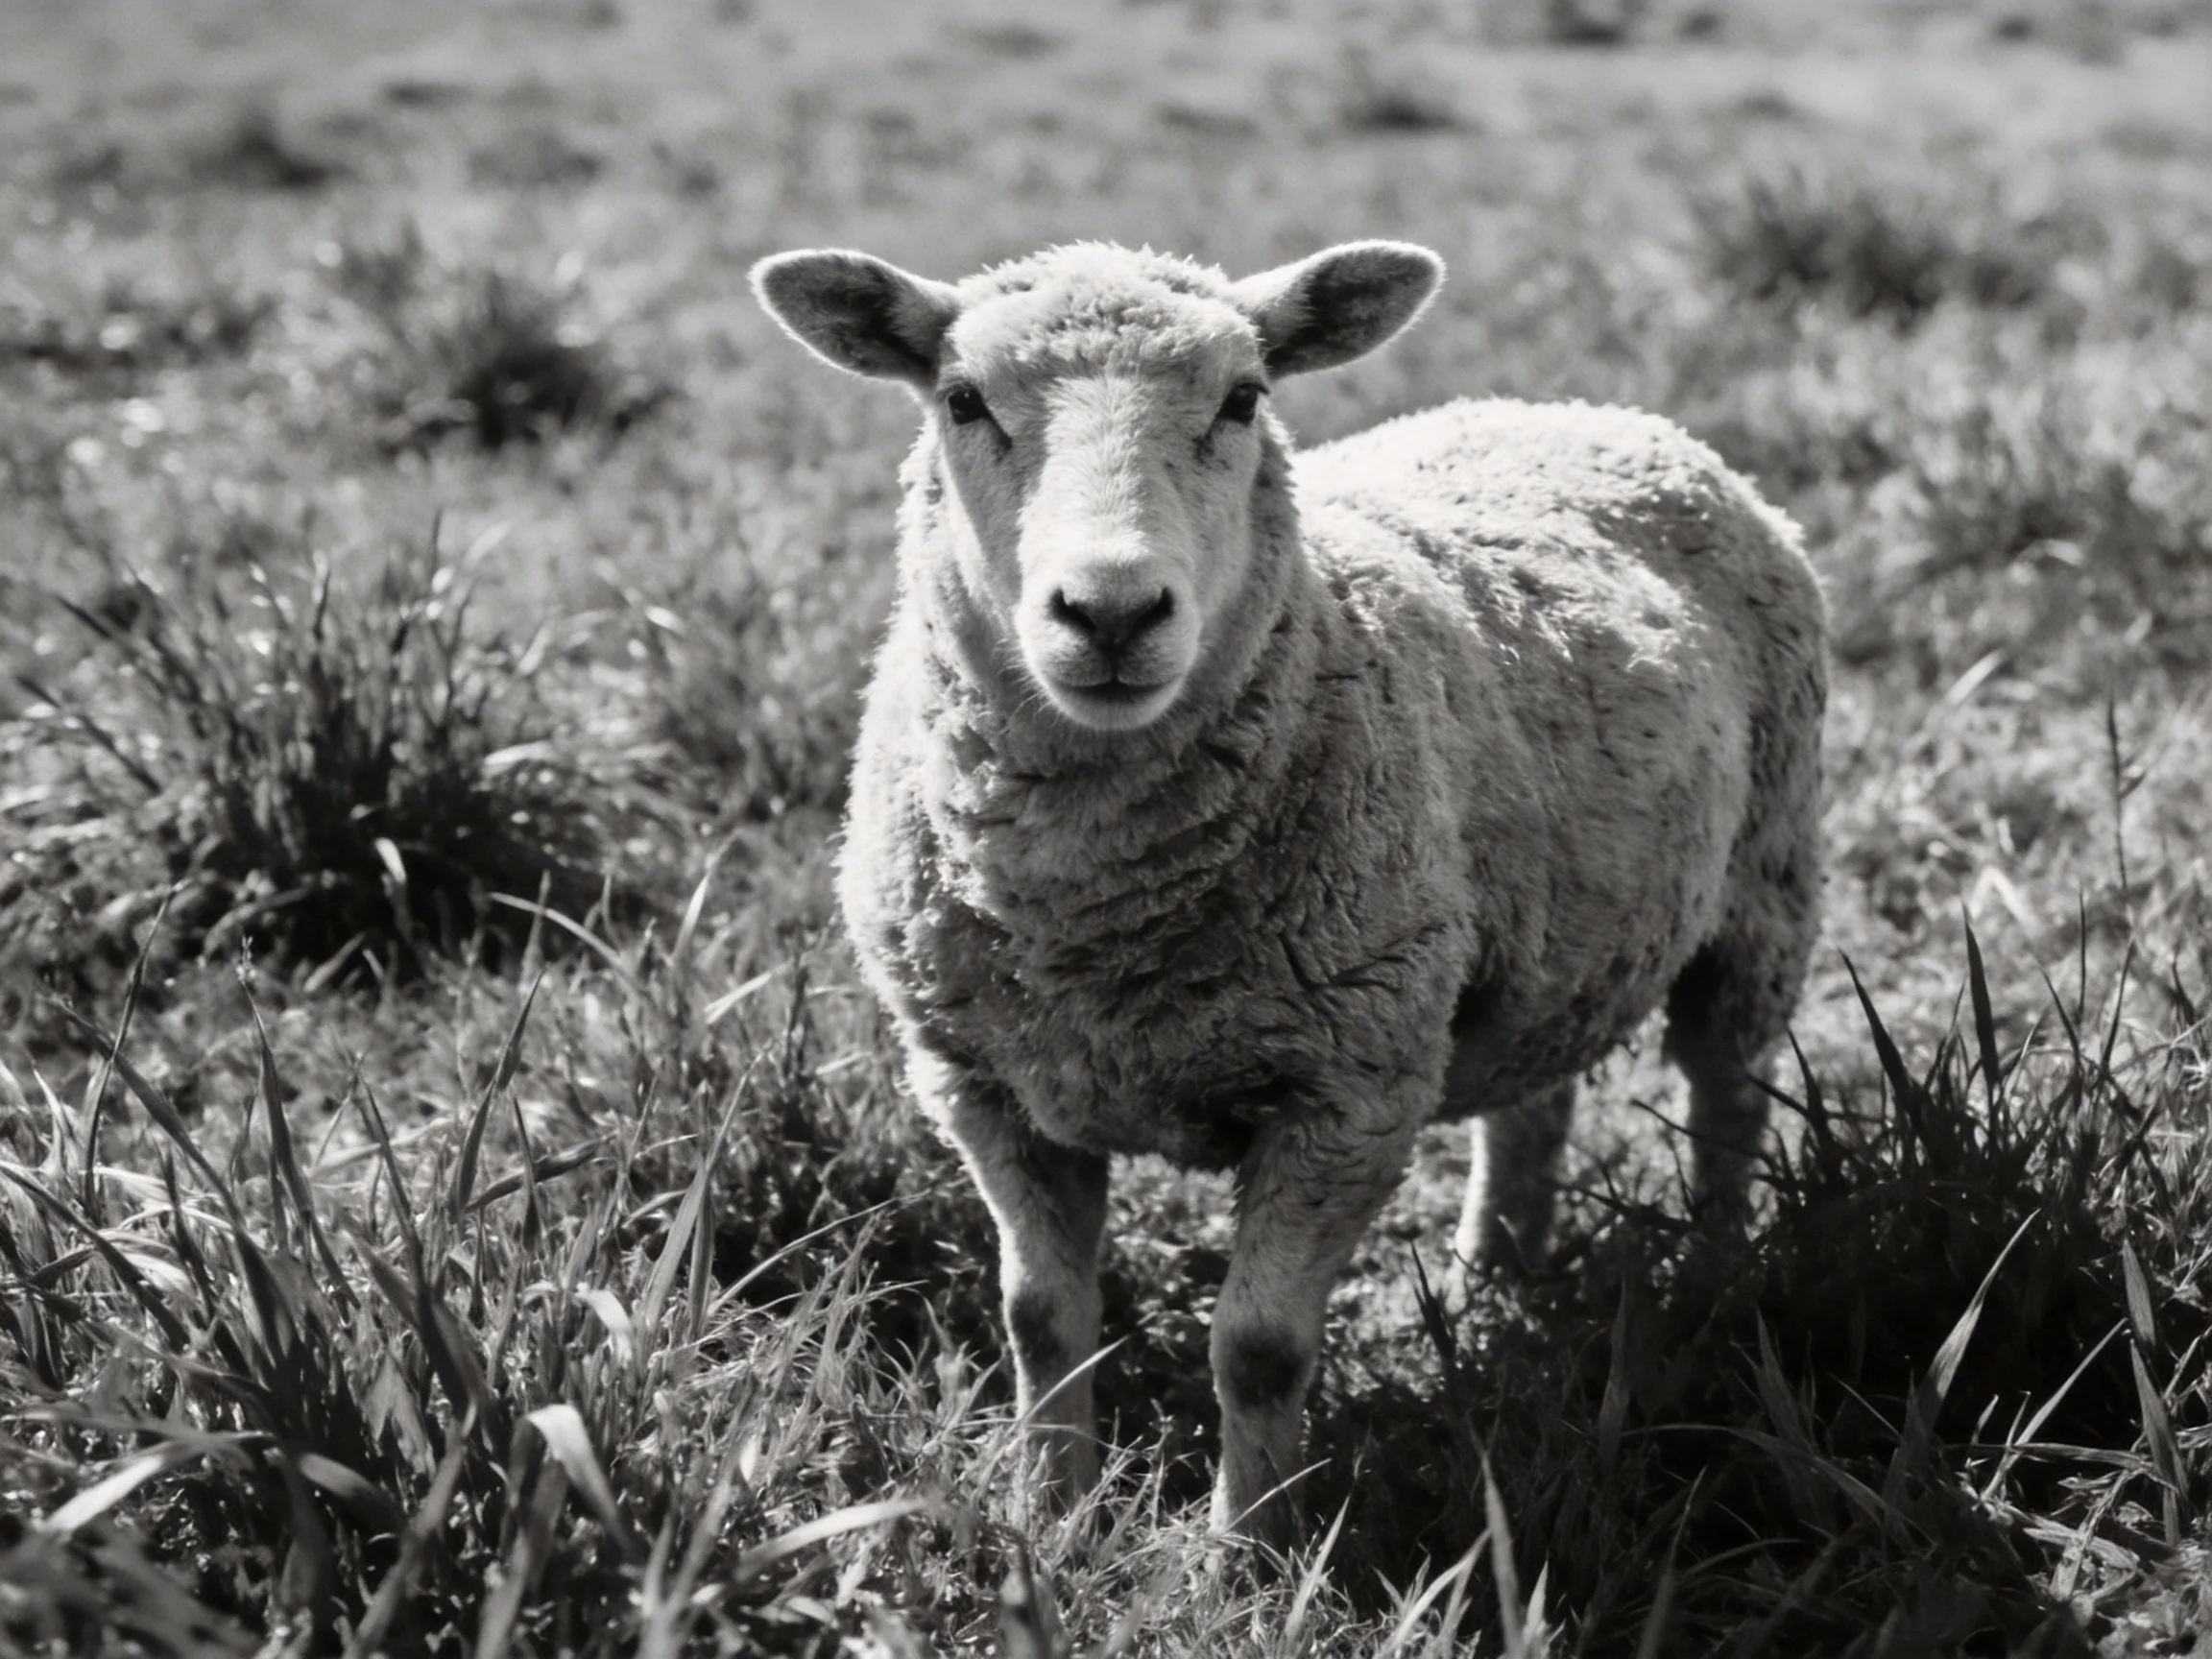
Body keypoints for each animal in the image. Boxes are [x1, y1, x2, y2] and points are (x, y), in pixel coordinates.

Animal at [750, 239, 1826, 1547]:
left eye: (1243, 398)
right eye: (961, 401)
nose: (1112, 611)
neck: (1093, 918)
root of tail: (1589, 410)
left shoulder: (1348, 1088)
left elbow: (1257, 1349)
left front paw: (1247, 1553)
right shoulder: (980, 1081)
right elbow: (1039, 1322)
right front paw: (1049, 1518)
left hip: (1767, 884)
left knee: (1728, 1096)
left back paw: (1715, 1282)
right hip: (1549, 923)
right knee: (1533, 1102)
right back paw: (1492, 1281)